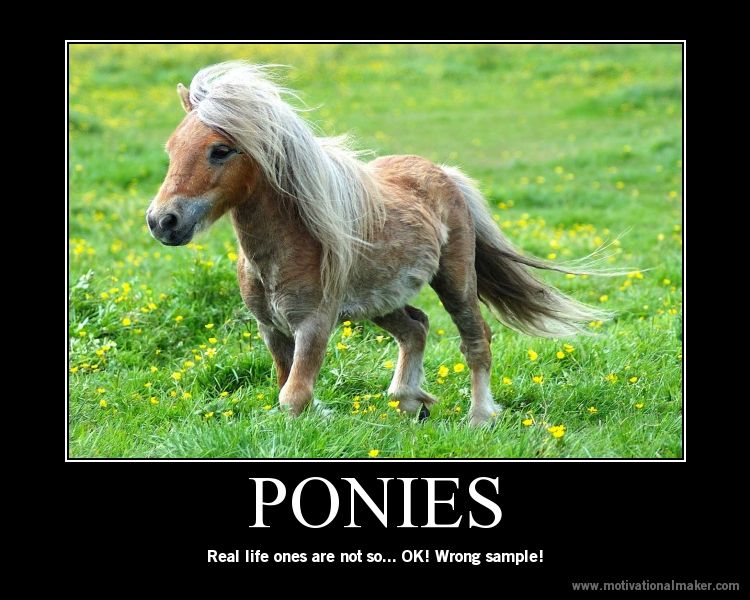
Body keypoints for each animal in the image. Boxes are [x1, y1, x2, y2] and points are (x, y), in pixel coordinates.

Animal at [146, 62, 610, 426]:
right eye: (171, 147)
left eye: (221, 150)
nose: (162, 221)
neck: (284, 248)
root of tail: (443, 173)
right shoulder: (271, 328)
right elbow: (287, 388)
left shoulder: (314, 324)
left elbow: (294, 396)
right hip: (381, 301)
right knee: (416, 327)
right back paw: (411, 402)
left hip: (455, 280)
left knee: (475, 339)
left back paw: (479, 417)